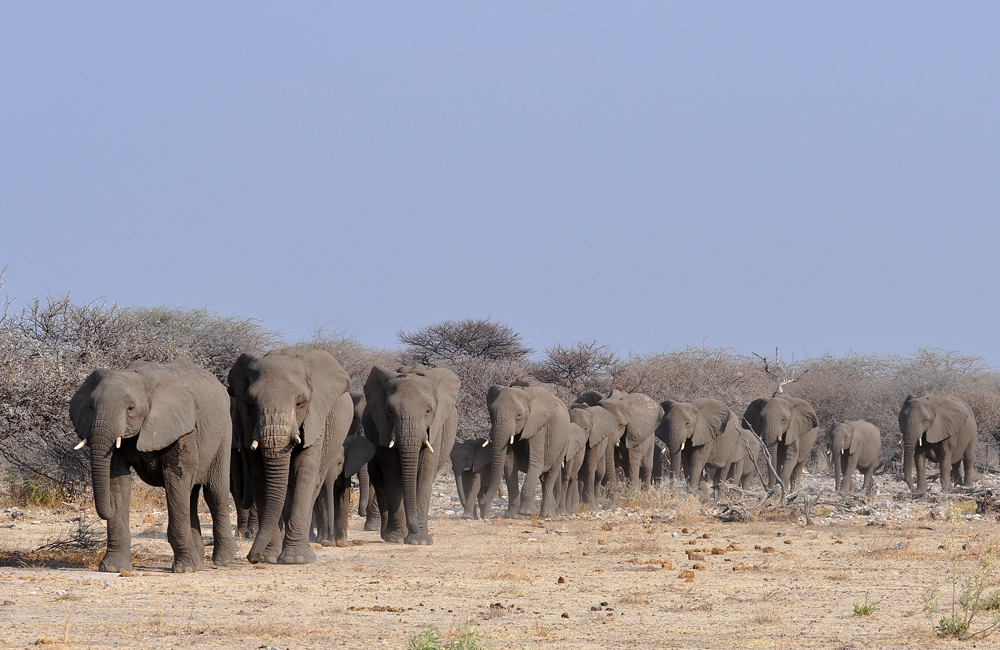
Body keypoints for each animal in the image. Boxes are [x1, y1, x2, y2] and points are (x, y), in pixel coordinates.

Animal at [70, 354, 236, 572]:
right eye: (90, 407)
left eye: (130, 408)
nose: (109, 506)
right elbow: (117, 480)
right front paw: (113, 568)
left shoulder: (182, 429)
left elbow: (176, 478)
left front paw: (185, 569)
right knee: (190, 495)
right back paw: (199, 562)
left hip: (224, 435)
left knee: (215, 494)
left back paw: (223, 561)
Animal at [229, 344, 354, 560]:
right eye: (251, 404)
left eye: (300, 403)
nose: (252, 557)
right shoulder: (245, 424)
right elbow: (260, 476)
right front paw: (269, 556)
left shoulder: (316, 420)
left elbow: (304, 471)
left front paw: (295, 559)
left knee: (315, 484)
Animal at [366, 364, 462, 540]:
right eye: (389, 411)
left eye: (428, 411)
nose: (415, 528)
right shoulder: (382, 427)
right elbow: (392, 472)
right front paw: (396, 538)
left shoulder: (436, 429)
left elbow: (425, 472)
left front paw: (419, 540)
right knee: (379, 479)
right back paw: (386, 534)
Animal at [482, 380, 572, 516]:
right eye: (491, 413)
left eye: (519, 415)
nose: (483, 504)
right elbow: (509, 465)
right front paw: (512, 516)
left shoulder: (538, 426)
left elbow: (535, 463)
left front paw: (525, 513)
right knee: (543, 478)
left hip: (564, 441)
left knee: (551, 474)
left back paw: (546, 514)